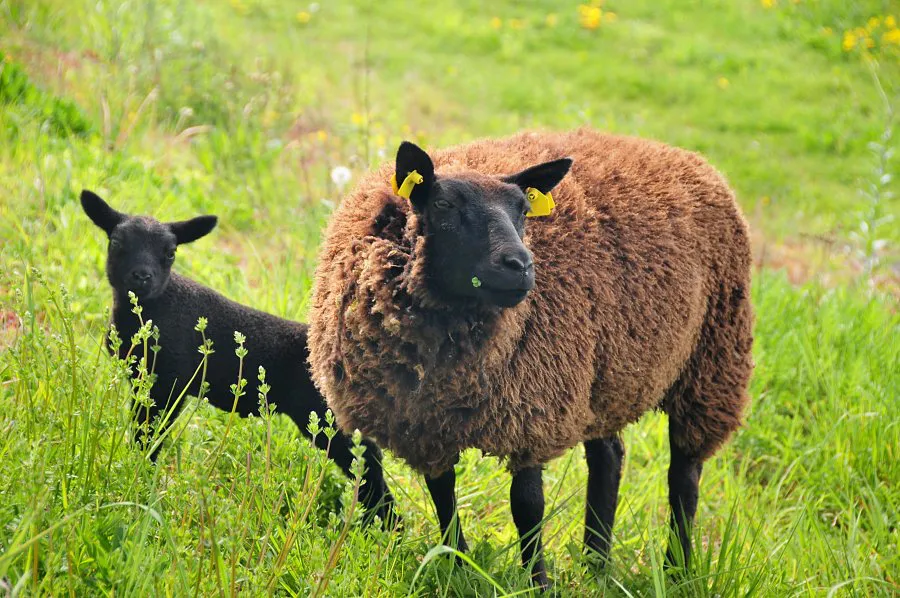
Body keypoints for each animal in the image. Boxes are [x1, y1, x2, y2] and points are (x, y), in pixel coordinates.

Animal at [306, 129, 756, 588]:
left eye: (524, 210)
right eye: (444, 206)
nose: (521, 265)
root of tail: (682, 154)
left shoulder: (531, 410)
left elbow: (527, 507)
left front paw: (537, 582)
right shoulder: (428, 424)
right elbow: (443, 495)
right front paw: (457, 566)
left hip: (713, 360)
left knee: (684, 474)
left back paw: (676, 568)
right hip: (605, 374)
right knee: (608, 457)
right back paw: (596, 565)